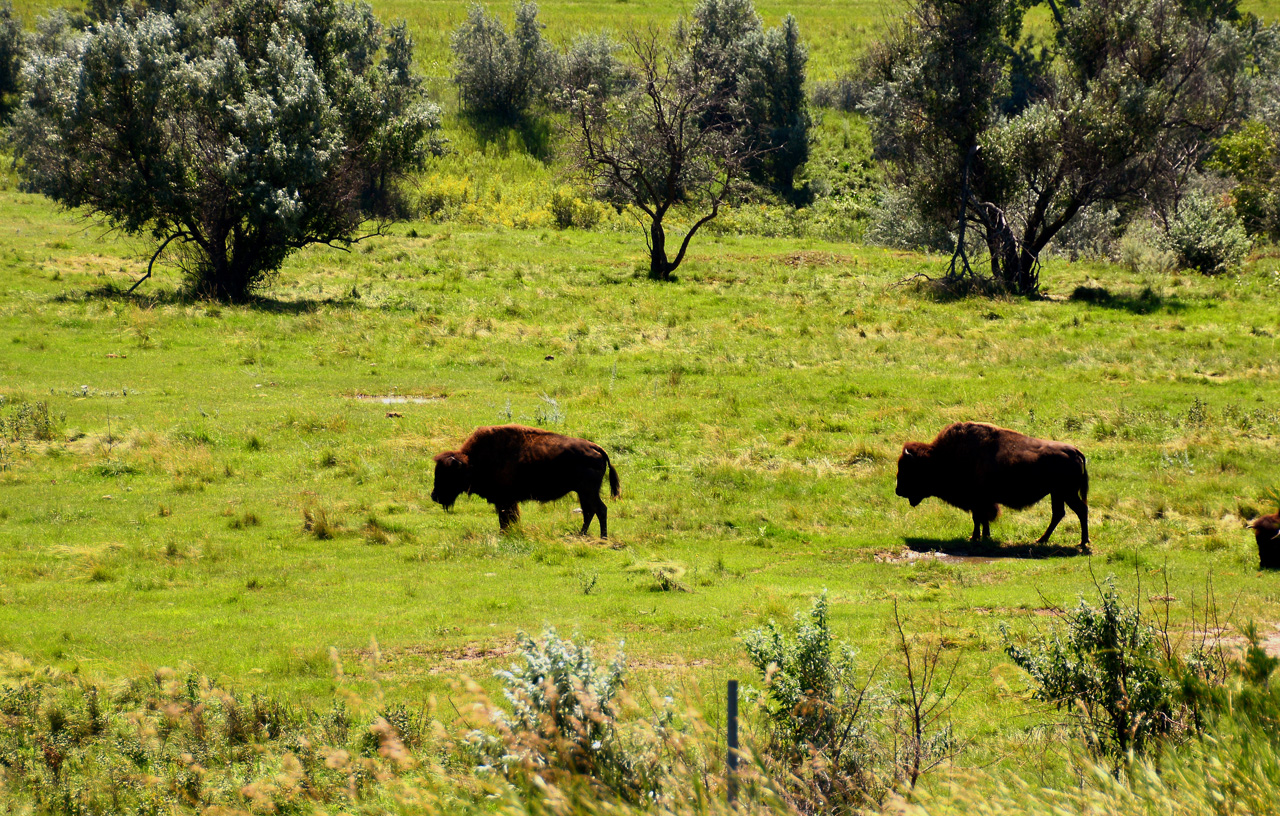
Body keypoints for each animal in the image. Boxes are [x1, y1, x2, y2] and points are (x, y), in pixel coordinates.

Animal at [430, 424, 619, 539]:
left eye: (448, 475)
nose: (434, 496)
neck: (474, 461)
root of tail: (597, 448)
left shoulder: (505, 500)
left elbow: (506, 519)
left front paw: (504, 534)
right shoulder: (506, 501)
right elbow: (508, 518)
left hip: (588, 491)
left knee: (600, 509)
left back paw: (603, 537)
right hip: (583, 492)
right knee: (589, 511)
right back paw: (582, 534)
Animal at [890, 422, 1090, 549]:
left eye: (909, 469)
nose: (898, 490)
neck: (941, 457)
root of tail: (1075, 452)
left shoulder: (978, 500)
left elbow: (978, 518)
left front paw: (974, 538)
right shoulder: (981, 501)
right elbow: (982, 519)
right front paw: (983, 536)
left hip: (1067, 493)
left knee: (1080, 510)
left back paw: (1082, 542)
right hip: (1058, 494)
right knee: (1059, 514)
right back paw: (1041, 540)